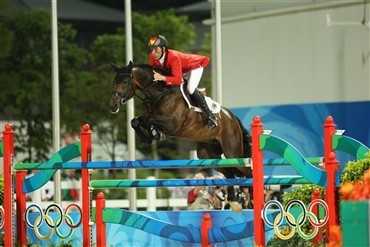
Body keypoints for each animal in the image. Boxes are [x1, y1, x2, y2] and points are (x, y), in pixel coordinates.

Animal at [107, 61, 251, 212]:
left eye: (124, 81)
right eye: (114, 81)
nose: (112, 105)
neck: (158, 93)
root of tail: (232, 117)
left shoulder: (172, 124)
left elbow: (149, 120)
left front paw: (155, 134)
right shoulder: (149, 117)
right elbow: (135, 121)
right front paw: (150, 136)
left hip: (232, 152)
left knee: (247, 172)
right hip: (208, 154)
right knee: (229, 172)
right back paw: (234, 202)